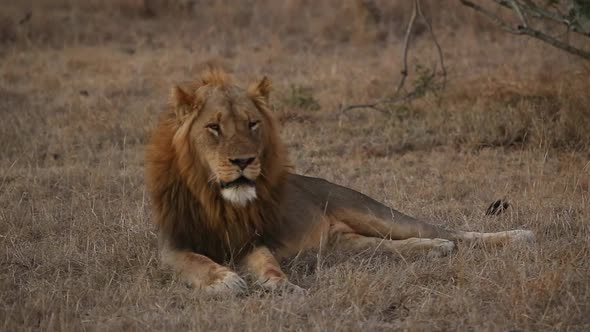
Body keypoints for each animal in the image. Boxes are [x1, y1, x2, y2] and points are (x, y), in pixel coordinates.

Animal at [145, 67, 536, 294]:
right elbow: (196, 262)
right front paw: (224, 279)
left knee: (451, 231)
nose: (244, 161)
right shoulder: (172, 246)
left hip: (372, 212)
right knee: (391, 246)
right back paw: (435, 249)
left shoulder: (252, 241)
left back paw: (517, 236)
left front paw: (282, 285)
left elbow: (267, 262)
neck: (219, 200)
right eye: (214, 127)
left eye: (252, 124)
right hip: (344, 244)